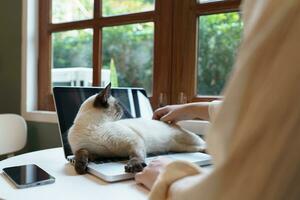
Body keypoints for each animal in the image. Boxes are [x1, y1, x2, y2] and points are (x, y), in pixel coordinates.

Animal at [68, 83, 206, 174]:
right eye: (118, 104)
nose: (122, 109)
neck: (94, 126)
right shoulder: (91, 152)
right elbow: (80, 153)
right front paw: (79, 166)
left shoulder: (133, 142)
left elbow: (135, 156)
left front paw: (133, 167)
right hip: (185, 146)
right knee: (201, 147)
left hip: (190, 141)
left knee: (204, 144)